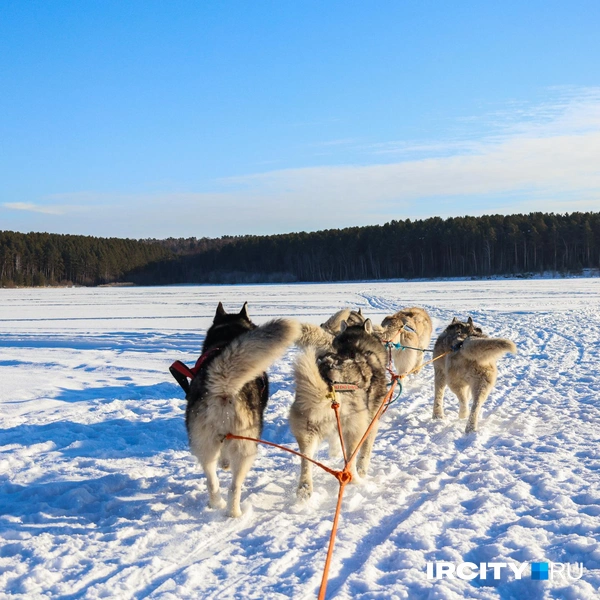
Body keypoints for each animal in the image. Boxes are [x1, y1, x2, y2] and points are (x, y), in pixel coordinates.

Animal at [185, 302, 300, 516]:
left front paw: (224, 464)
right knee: (235, 486)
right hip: (246, 447)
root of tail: (223, 385)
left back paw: (217, 504)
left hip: (204, 445)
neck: (226, 336)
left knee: (212, 481)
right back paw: (234, 513)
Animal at [290, 322, 390, 500]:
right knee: (350, 464)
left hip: (307, 433)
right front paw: (363, 471)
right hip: (356, 429)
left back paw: (304, 490)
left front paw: (334, 452)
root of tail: (329, 381)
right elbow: (365, 454)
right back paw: (358, 482)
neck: (354, 347)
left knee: (306, 461)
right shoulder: (372, 422)